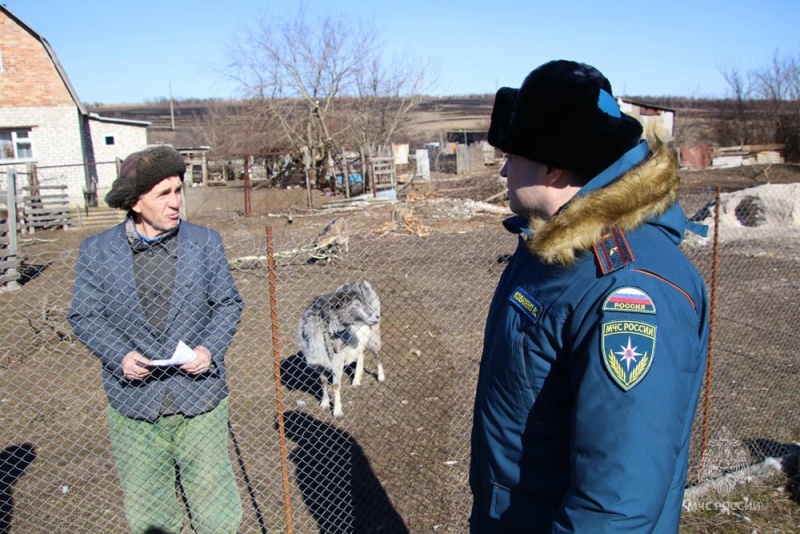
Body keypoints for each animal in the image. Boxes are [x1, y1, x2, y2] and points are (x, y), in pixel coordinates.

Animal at [302, 280, 386, 418]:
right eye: (355, 305)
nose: (376, 316)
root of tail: (360, 282)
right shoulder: (320, 363)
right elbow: (322, 381)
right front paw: (324, 403)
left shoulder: (337, 362)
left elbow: (336, 386)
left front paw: (337, 411)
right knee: (361, 354)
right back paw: (356, 381)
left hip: (374, 333)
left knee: (377, 353)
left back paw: (381, 377)